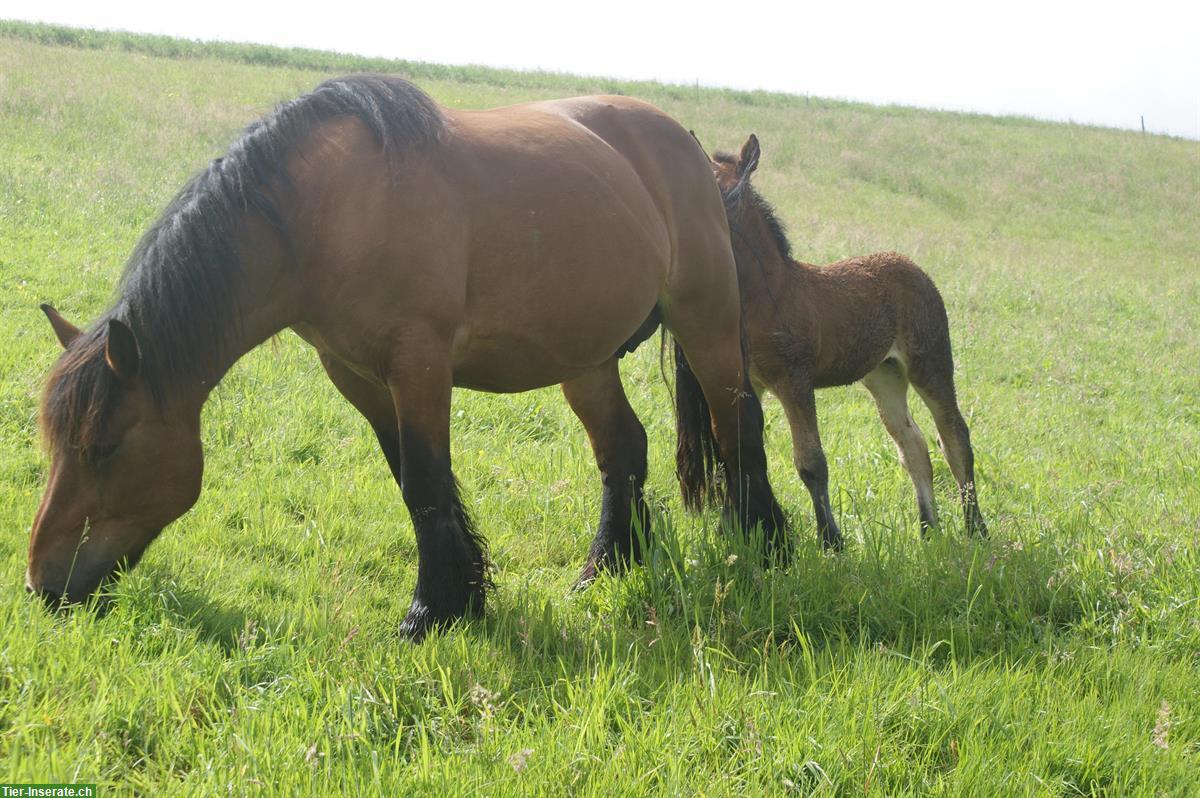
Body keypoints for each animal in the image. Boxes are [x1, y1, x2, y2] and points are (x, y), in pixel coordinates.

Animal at [25, 76, 787, 643]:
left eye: (104, 446)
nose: (42, 583)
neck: (326, 212)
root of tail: (689, 149)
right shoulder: (355, 375)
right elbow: (411, 480)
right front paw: (464, 596)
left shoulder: (419, 363)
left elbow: (424, 481)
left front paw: (430, 611)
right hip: (586, 355)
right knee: (623, 449)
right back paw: (604, 570)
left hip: (706, 318)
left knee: (737, 424)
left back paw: (765, 548)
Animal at [676, 135, 984, 547]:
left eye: (720, 187)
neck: (767, 294)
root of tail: (915, 268)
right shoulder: (749, 382)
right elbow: (737, 448)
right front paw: (733, 529)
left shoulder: (795, 379)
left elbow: (811, 461)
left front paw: (830, 539)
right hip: (884, 375)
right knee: (913, 445)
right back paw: (928, 528)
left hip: (930, 362)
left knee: (954, 436)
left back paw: (975, 527)